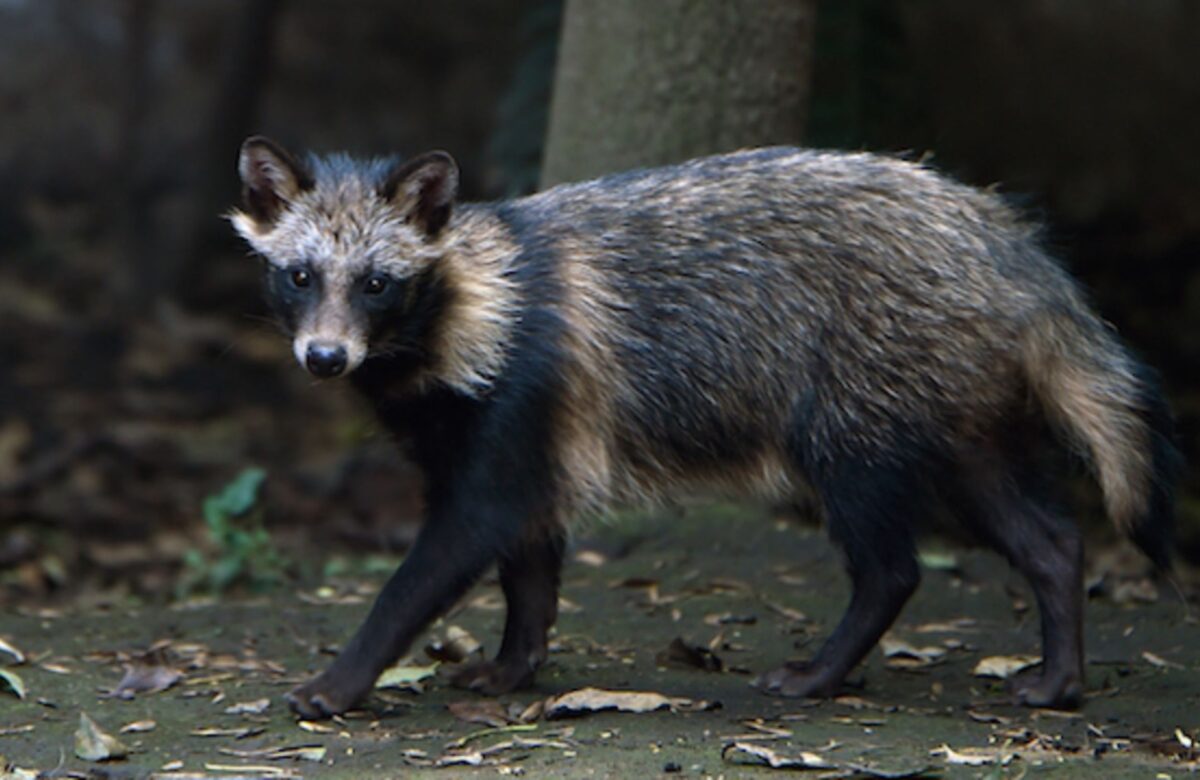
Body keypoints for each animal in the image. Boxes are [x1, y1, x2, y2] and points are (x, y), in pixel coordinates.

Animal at [231, 136, 1178, 719]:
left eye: (378, 284)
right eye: (301, 275)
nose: (325, 358)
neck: (468, 305)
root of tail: (999, 235)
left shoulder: (517, 410)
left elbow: (431, 567)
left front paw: (343, 677)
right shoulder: (511, 440)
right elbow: (530, 566)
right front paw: (515, 661)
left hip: (855, 409)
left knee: (892, 565)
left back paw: (827, 668)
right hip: (954, 415)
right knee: (1049, 538)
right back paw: (1060, 671)